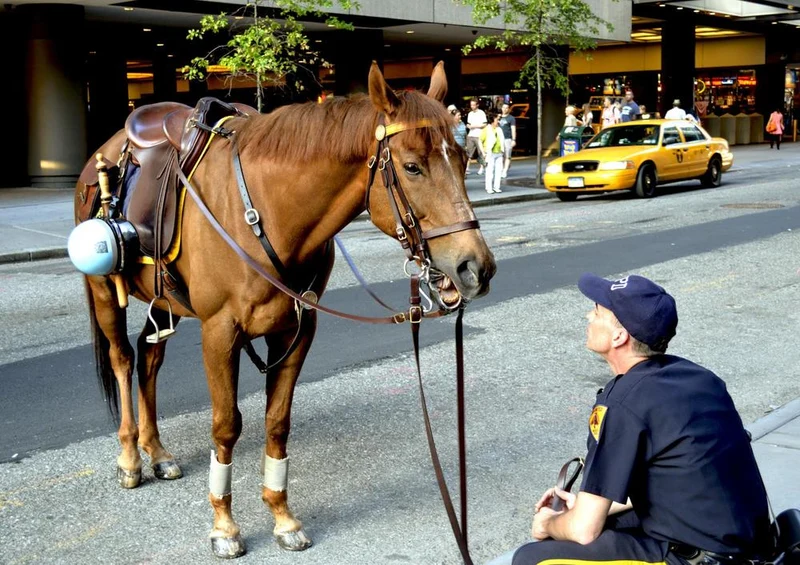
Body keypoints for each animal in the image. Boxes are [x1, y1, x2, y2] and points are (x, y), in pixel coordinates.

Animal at [76, 61, 496, 558]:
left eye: (464, 159)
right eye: (412, 166)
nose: (475, 267)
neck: (267, 211)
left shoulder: (296, 329)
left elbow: (277, 423)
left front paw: (281, 514)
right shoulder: (220, 333)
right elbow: (226, 426)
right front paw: (224, 525)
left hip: (165, 300)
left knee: (150, 356)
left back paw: (156, 451)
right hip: (104, 291)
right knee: (123, 359)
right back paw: (129, 456)